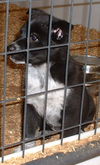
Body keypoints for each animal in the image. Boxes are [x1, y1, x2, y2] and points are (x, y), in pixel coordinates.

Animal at [7, 9, 95, 141]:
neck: (42, 71)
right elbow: (28, 133)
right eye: (20, 33)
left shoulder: (71, 110)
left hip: (90, 106)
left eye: (34, 37)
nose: (8, 48)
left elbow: (68, 135)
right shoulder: (30, 105)